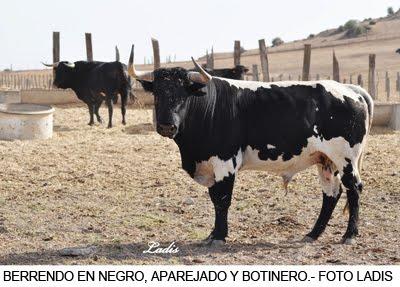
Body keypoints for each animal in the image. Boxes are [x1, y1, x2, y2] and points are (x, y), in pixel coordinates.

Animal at [127, 50, 372, 246]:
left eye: (183, 93)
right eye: (157, 93)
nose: (167, 126)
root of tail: (350, 89)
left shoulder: (225, 162)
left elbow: (222, 199)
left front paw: (219, 236)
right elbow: (214, 198)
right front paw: (212, 234)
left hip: (346, 158)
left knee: (353, 189)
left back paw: (349, 235)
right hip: (326, 160)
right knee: (331, 193)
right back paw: (313, 234)